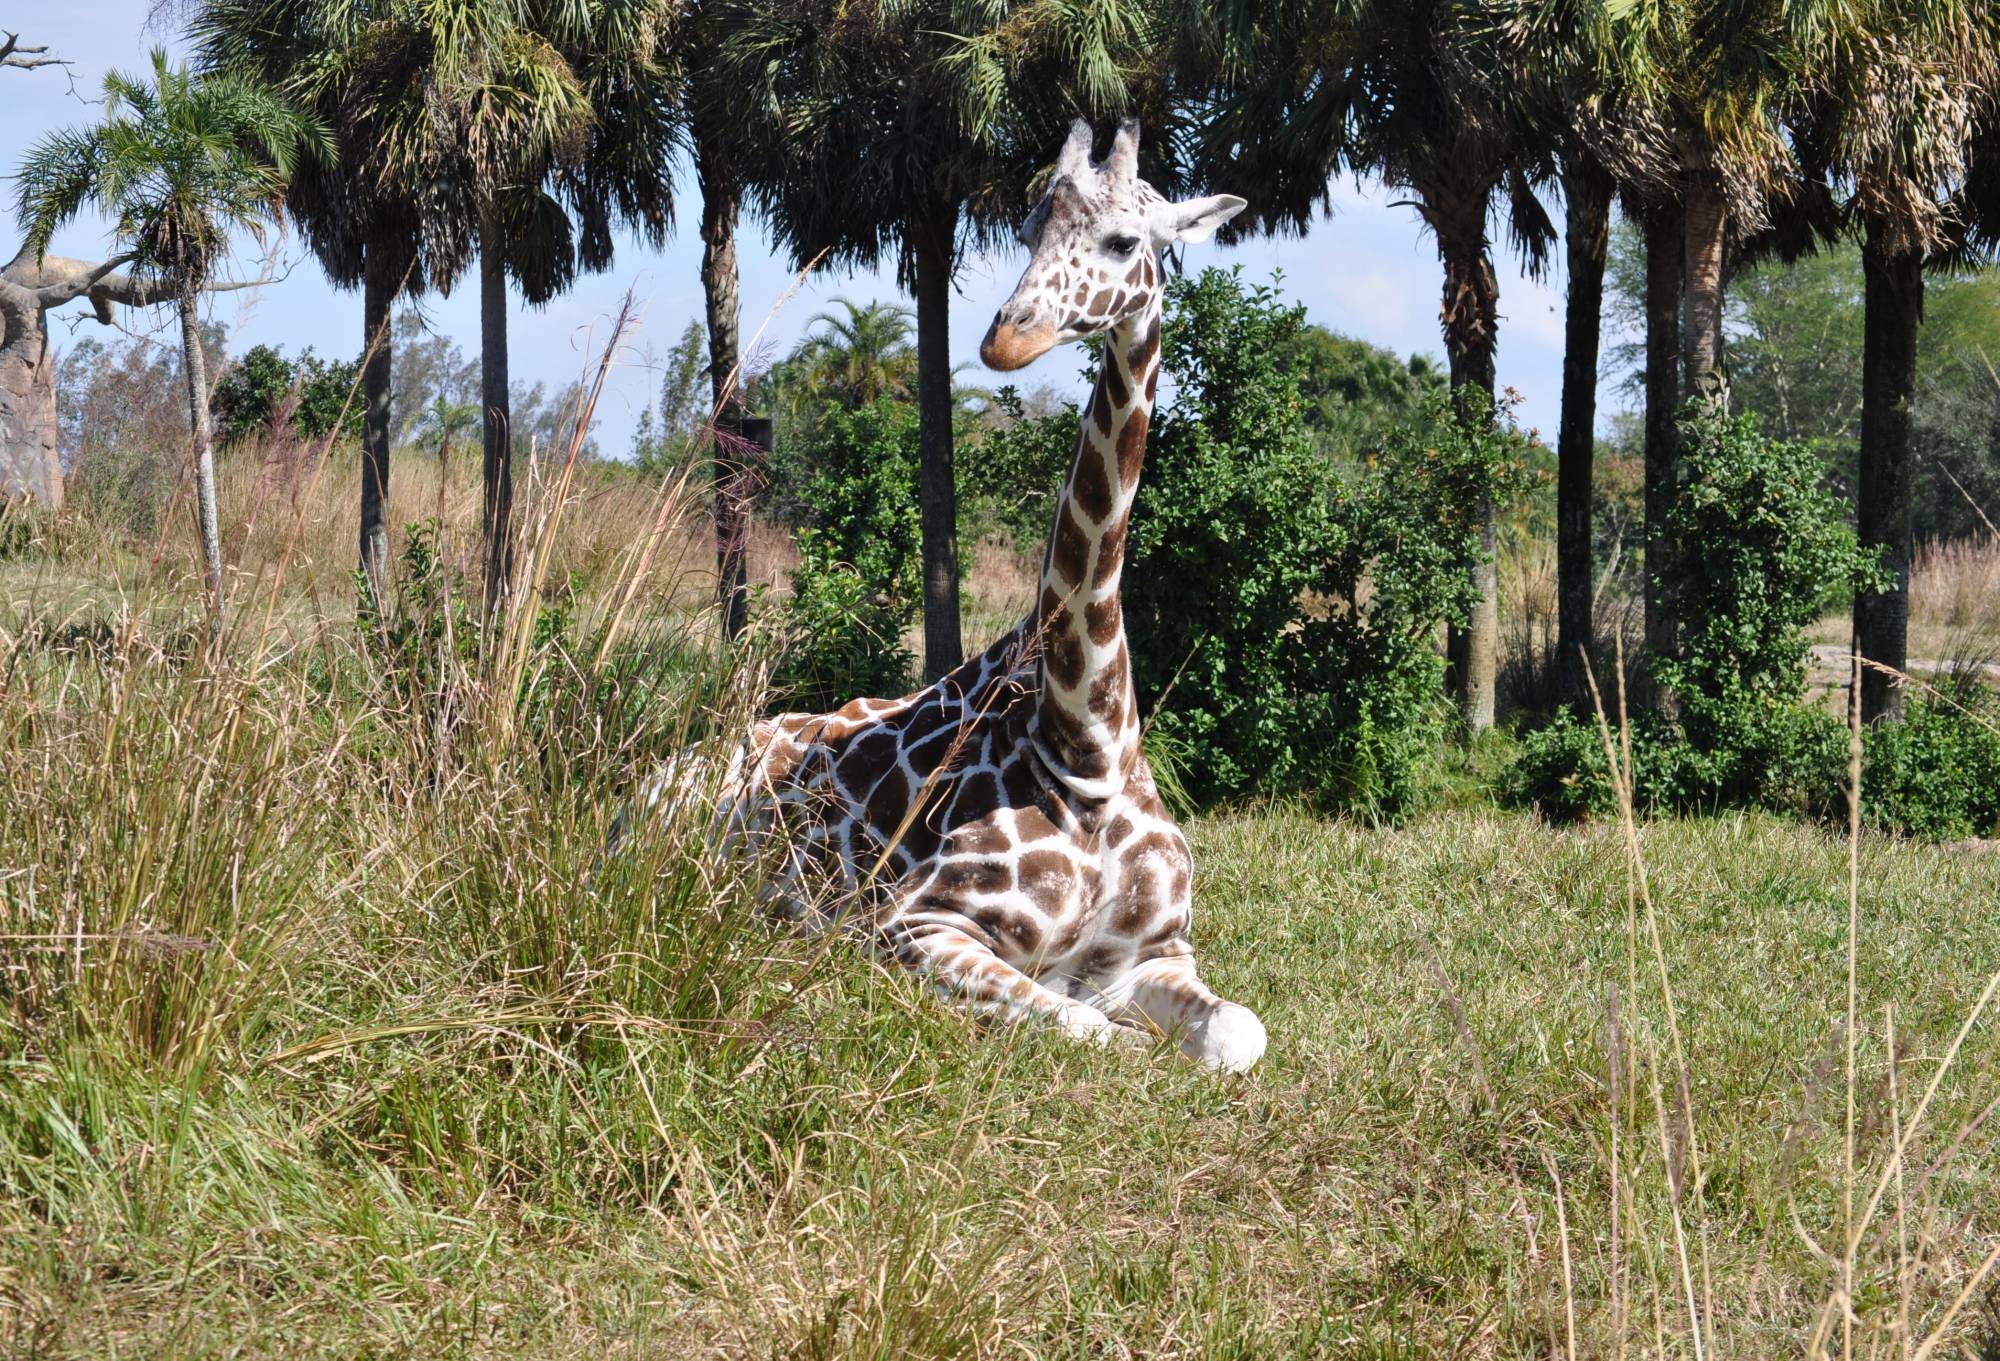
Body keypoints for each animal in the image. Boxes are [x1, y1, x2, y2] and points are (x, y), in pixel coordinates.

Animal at [640, 117, 1264, 1072]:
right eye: (1030, 228)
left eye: (1126, 240)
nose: (1006, 340)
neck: (1084, 748)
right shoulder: (912, 924)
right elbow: (1087, 1028)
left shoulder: (1160, 950)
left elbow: (1237, 1031)